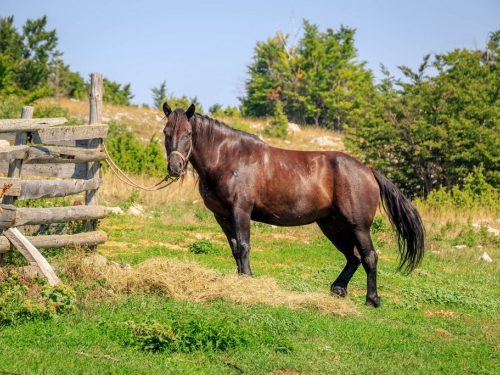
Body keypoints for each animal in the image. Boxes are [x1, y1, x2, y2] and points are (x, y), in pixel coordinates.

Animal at [162, 101, 424, 306]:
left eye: (188, 133)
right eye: (166, 132)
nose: (175, 167)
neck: (228, 158)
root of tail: (368, 171)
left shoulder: (241, 212)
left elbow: (244, 246)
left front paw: (247, 280)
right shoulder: (223, 217)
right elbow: (235, 248)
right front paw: (239, 279)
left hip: (358, 226)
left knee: (369, 256)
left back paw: (372, 299)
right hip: (332, 225)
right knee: (354, 257)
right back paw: (338, 289)